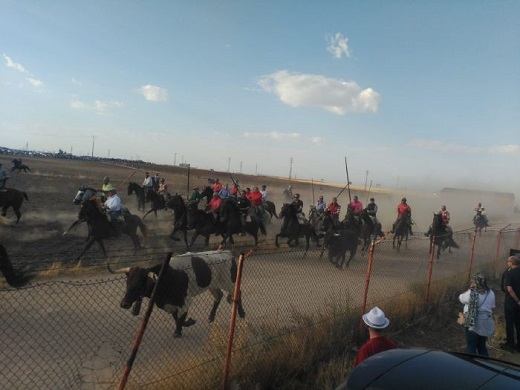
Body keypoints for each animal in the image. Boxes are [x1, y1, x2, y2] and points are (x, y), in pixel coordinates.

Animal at [111, 251, 246, 336]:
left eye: (140, 283)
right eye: (127, 282)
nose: (123, 304)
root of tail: (226, 253)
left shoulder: (185, 300)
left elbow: (181, 316)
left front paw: (178, 331)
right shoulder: (166, 304)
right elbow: (176, 316)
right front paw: (188, 323)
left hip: (229, 282)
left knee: (237, 292)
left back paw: (241, 313)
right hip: (213, 284)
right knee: (219, 296)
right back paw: (211, 317)